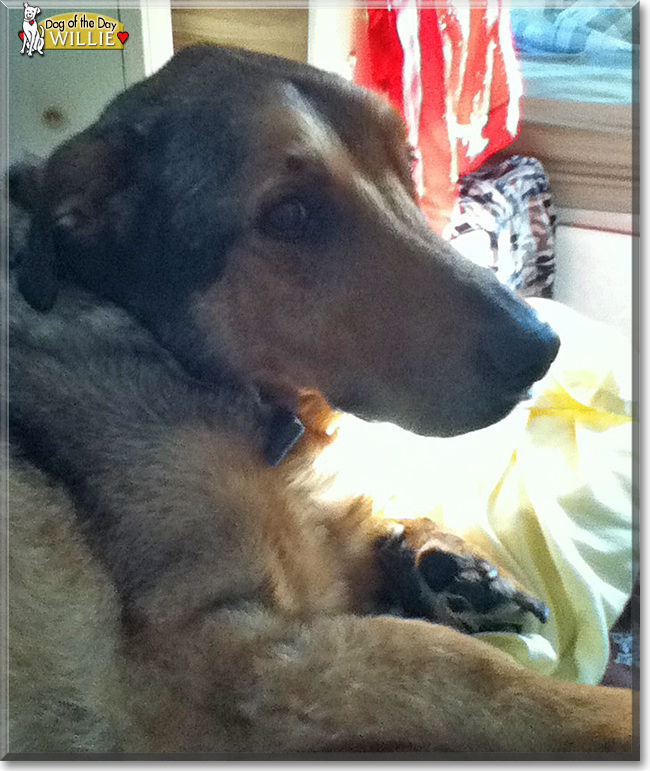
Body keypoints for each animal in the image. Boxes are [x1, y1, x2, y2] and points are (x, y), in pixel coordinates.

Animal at [6, 45, 632, 756]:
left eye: (406, 163)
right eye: (291, 216)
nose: (541, 348)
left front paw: (451, 567)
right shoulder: (206, 661)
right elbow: (453, 665)